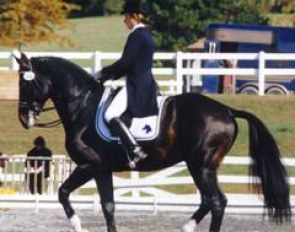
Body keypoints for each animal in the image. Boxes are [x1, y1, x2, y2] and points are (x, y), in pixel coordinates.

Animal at [14, 52, 292, 232]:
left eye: (24, 83)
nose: (24, 119)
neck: (82, 104)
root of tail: (227, 111)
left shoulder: (89, 165)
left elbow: (62, 193)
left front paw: (78, 225)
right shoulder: (102, 169)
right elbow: (108, 206)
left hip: (201, 165)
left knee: (216, 202)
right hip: (202, 166)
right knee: (207, 201)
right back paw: (186, 227)